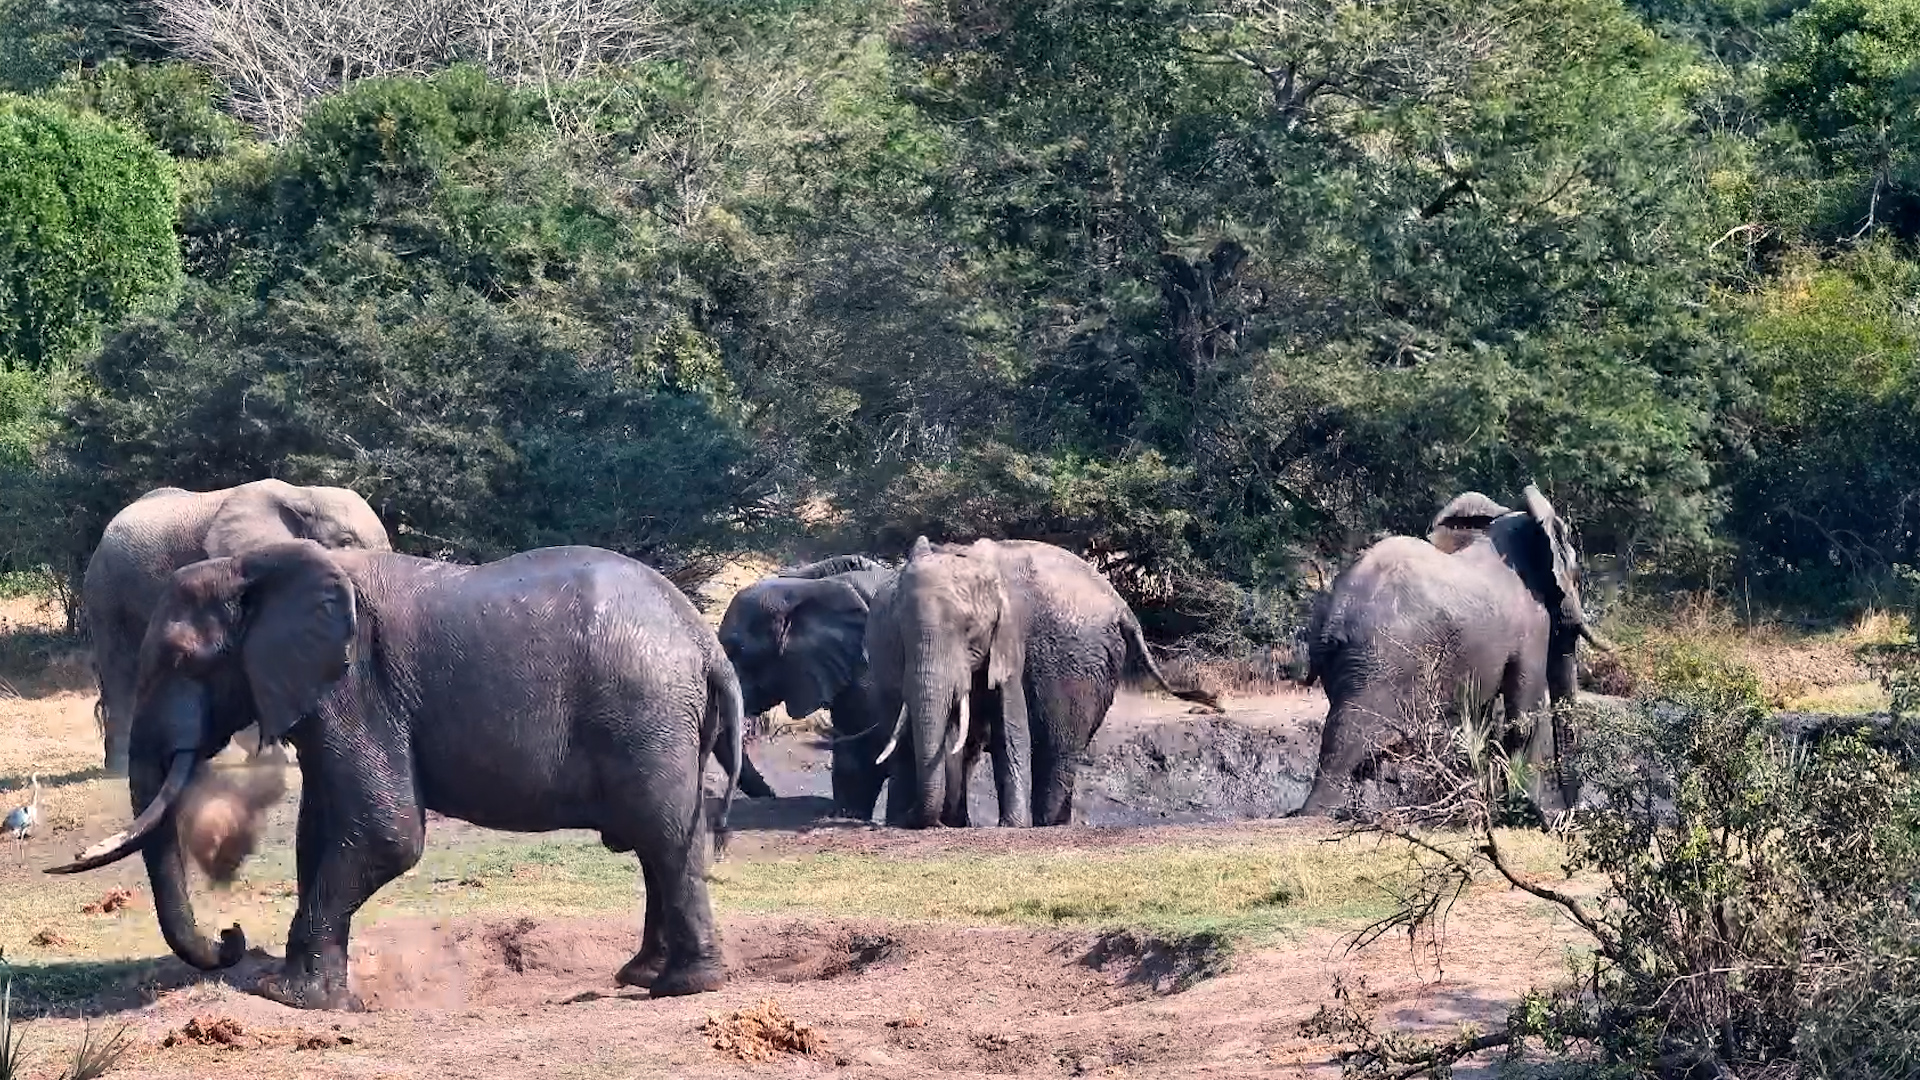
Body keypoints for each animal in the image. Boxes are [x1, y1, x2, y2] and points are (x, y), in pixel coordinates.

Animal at [49, 540, 743, 1008]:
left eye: (179, 660)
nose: (231, 937)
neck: (256, 567)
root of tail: (706, 644)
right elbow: (320, 830)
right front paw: (314, 993)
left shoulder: (356, 685)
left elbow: (385, 834)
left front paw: (285, 997)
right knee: (663, 841)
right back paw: (643, 976)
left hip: (646, 714)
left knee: (661, 836)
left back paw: (681, 988)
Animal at [83, 480, 392, 776]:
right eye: (346, 541)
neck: (303, 494)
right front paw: (273, 759)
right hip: (106, 595)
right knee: (121, 673)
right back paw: (120, 770)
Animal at [865, 537, 1222, 829]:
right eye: (901, 633)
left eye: (970, 632)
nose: (912, 817)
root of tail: (1123, 606)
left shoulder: (1009, 636)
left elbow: (1010, 726)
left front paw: (1012, 826)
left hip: (1085, 666)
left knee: (1059, 746)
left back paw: (1048, 823)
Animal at [1294, 485, 1614, 819]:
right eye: (1576, 574)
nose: (1576, 810)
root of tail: (1334, 612)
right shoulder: (1533, 625)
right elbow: (1523, 720)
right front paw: (1533, 813)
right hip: (1380, 661)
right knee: (1353, 739)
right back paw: (1321, 813)